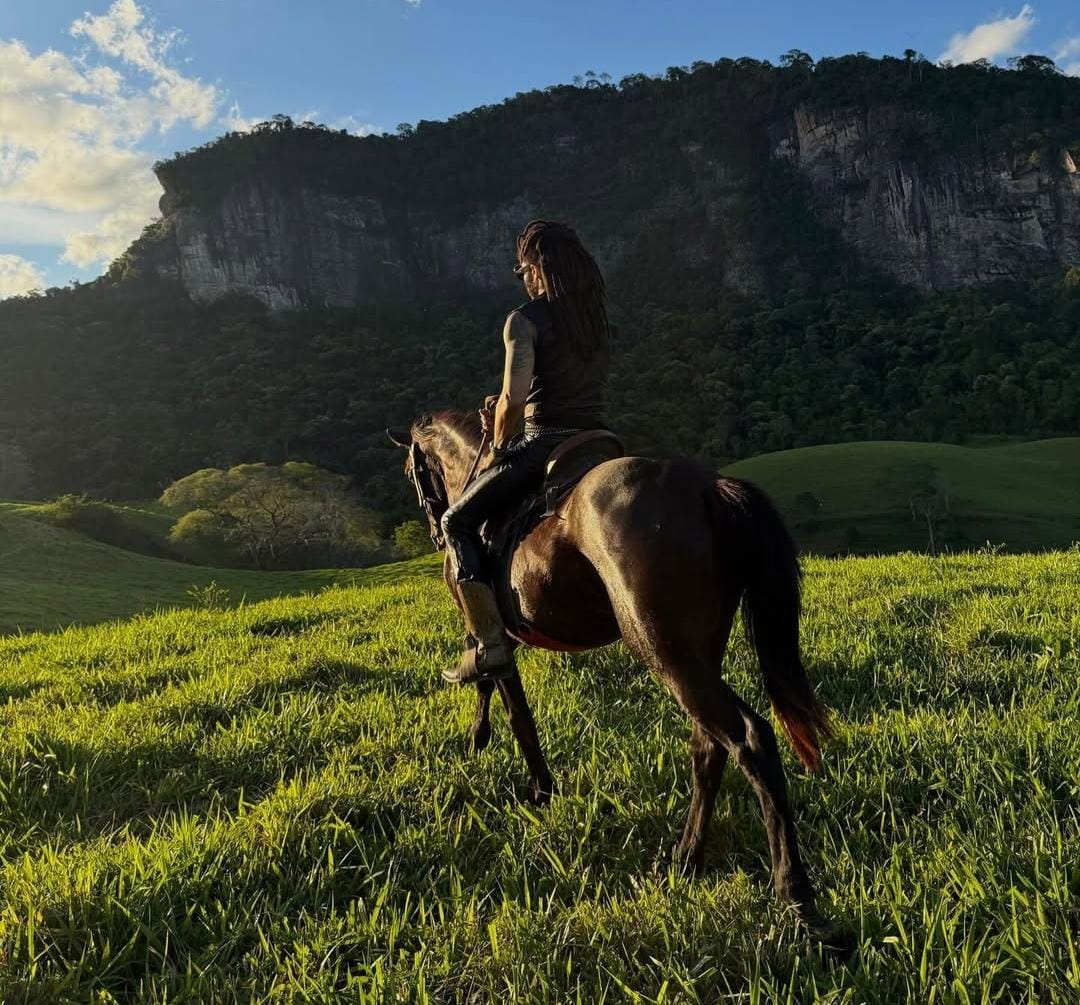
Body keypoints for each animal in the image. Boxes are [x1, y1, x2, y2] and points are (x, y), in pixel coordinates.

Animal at [393, 408, 838, 936]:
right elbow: (491, 681)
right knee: (709, 745)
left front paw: (539, 787)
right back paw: (686, 860)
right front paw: (486, 739)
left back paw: (795, 895)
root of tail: (709, 487)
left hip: (662, 647)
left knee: (749, 739)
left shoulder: (489, 624)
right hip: (698, 651)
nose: (435, 531)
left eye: (412, 473)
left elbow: (510, 700)